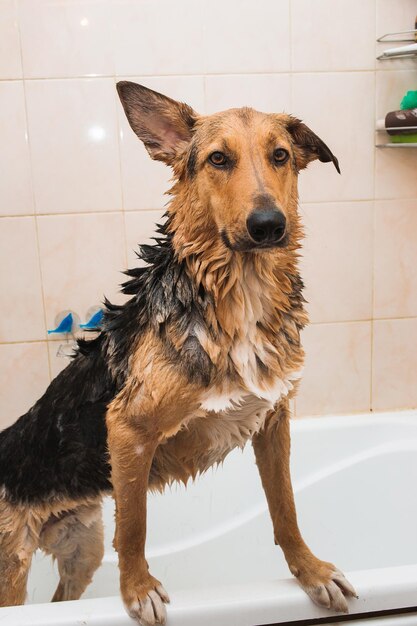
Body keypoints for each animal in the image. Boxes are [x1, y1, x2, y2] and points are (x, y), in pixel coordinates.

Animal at [0, 81, 354, 620]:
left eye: (280, 156)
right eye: (218, 159)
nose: (269, 224)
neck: (238, 294)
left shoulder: (273, 420)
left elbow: (286, 507)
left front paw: (309, 571)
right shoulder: (129, 429)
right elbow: (135, 526)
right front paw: (137, 588)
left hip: (81, 549)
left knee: (62, 596)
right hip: (12, 571)